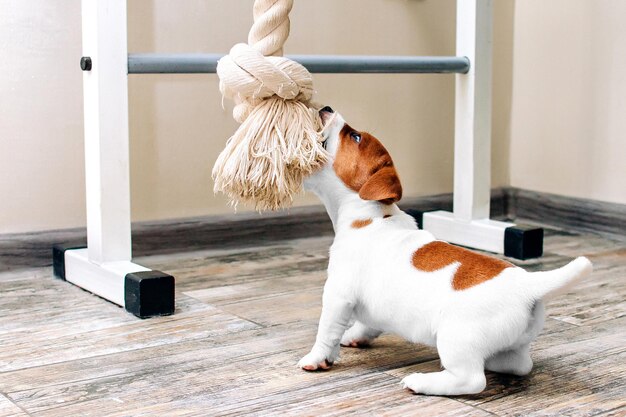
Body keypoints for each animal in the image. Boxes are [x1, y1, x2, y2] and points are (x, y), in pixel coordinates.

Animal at [298, 105, 588, 394]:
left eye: (355, 136)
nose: (326, 108)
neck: (370, 213)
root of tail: (528, 285)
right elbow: (366, 324)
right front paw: (354, 337)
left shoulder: (338, 296)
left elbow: (327, 331)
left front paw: (316, 358)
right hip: (510, 345)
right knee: (518, 365)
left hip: (455, 338)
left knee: (471, 379)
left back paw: (421, 381)